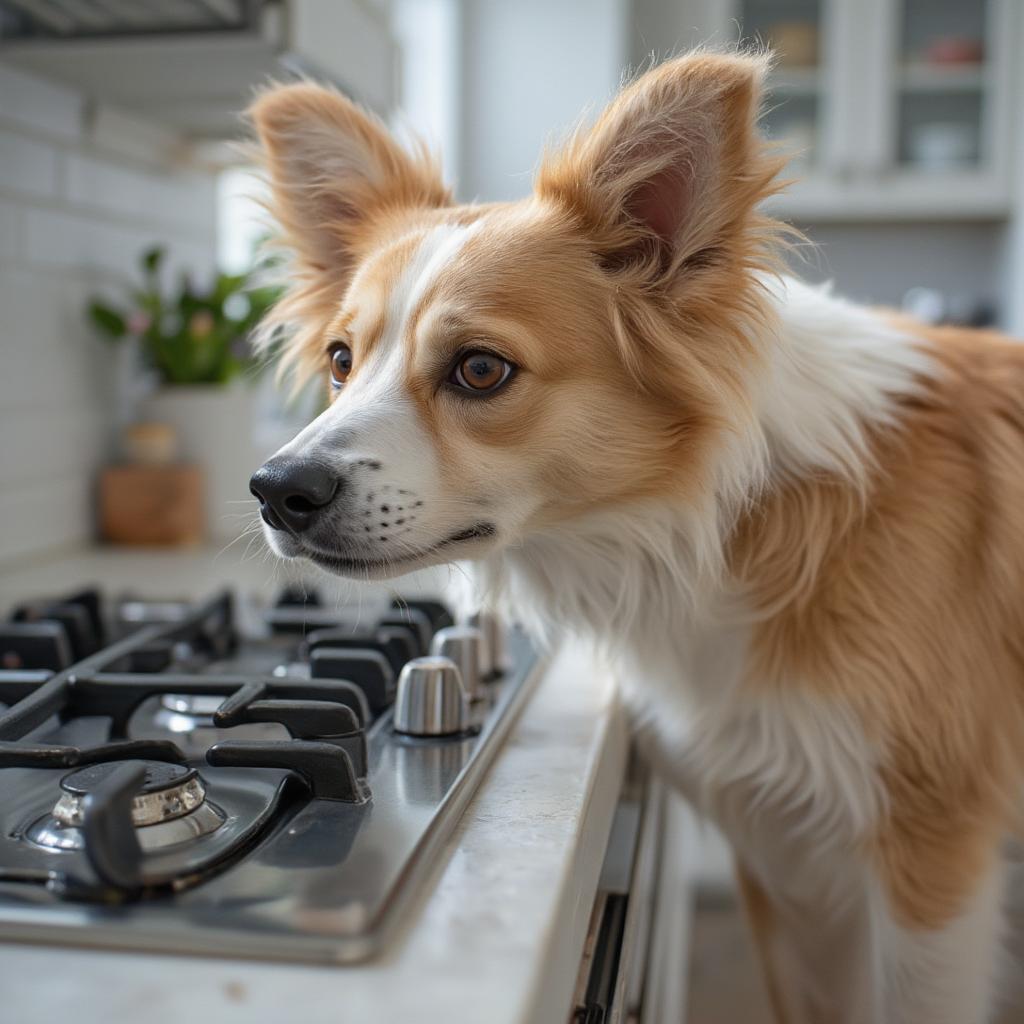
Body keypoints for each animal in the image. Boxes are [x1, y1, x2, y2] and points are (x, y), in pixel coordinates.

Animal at [245, 51, 1024, 1019]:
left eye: (480, 369)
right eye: (342, 361)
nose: (276, 491)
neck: (709, 530)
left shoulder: (929, 864)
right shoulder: (788, 851)